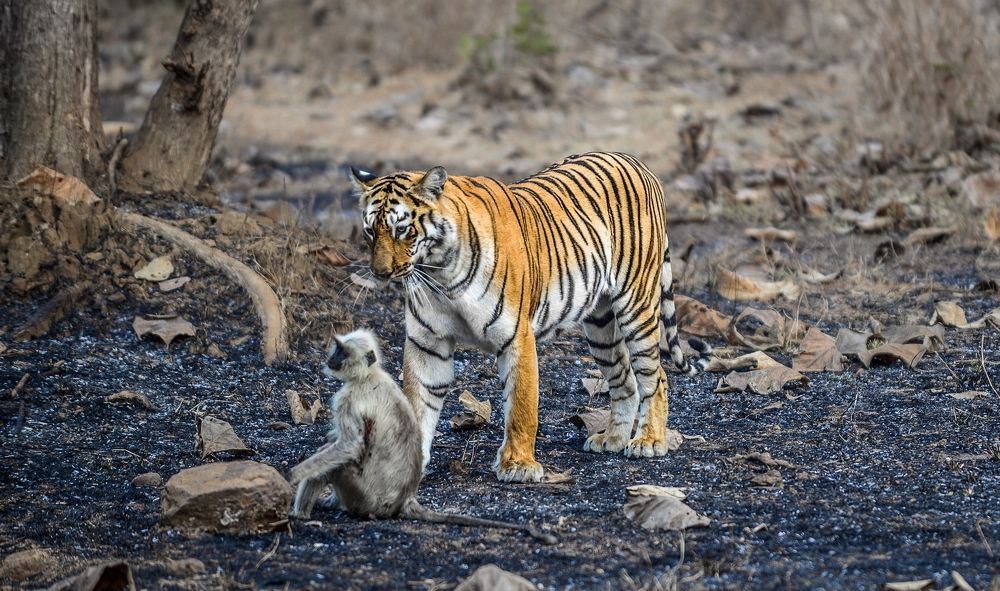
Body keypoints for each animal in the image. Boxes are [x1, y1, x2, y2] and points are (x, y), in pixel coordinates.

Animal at [352, 151, 710, 483]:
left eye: (402, 230)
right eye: (369, 232)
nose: (380, 273)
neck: (440, 275)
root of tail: (634, 160)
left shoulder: (516, 336)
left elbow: (521, 406)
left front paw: (518, 465)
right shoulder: (428, 342)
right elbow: (417, 402)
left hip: (636, 304)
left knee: (655, 376)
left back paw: (650, 440)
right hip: (600, 324)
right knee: (625, 380)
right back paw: (613, 438)